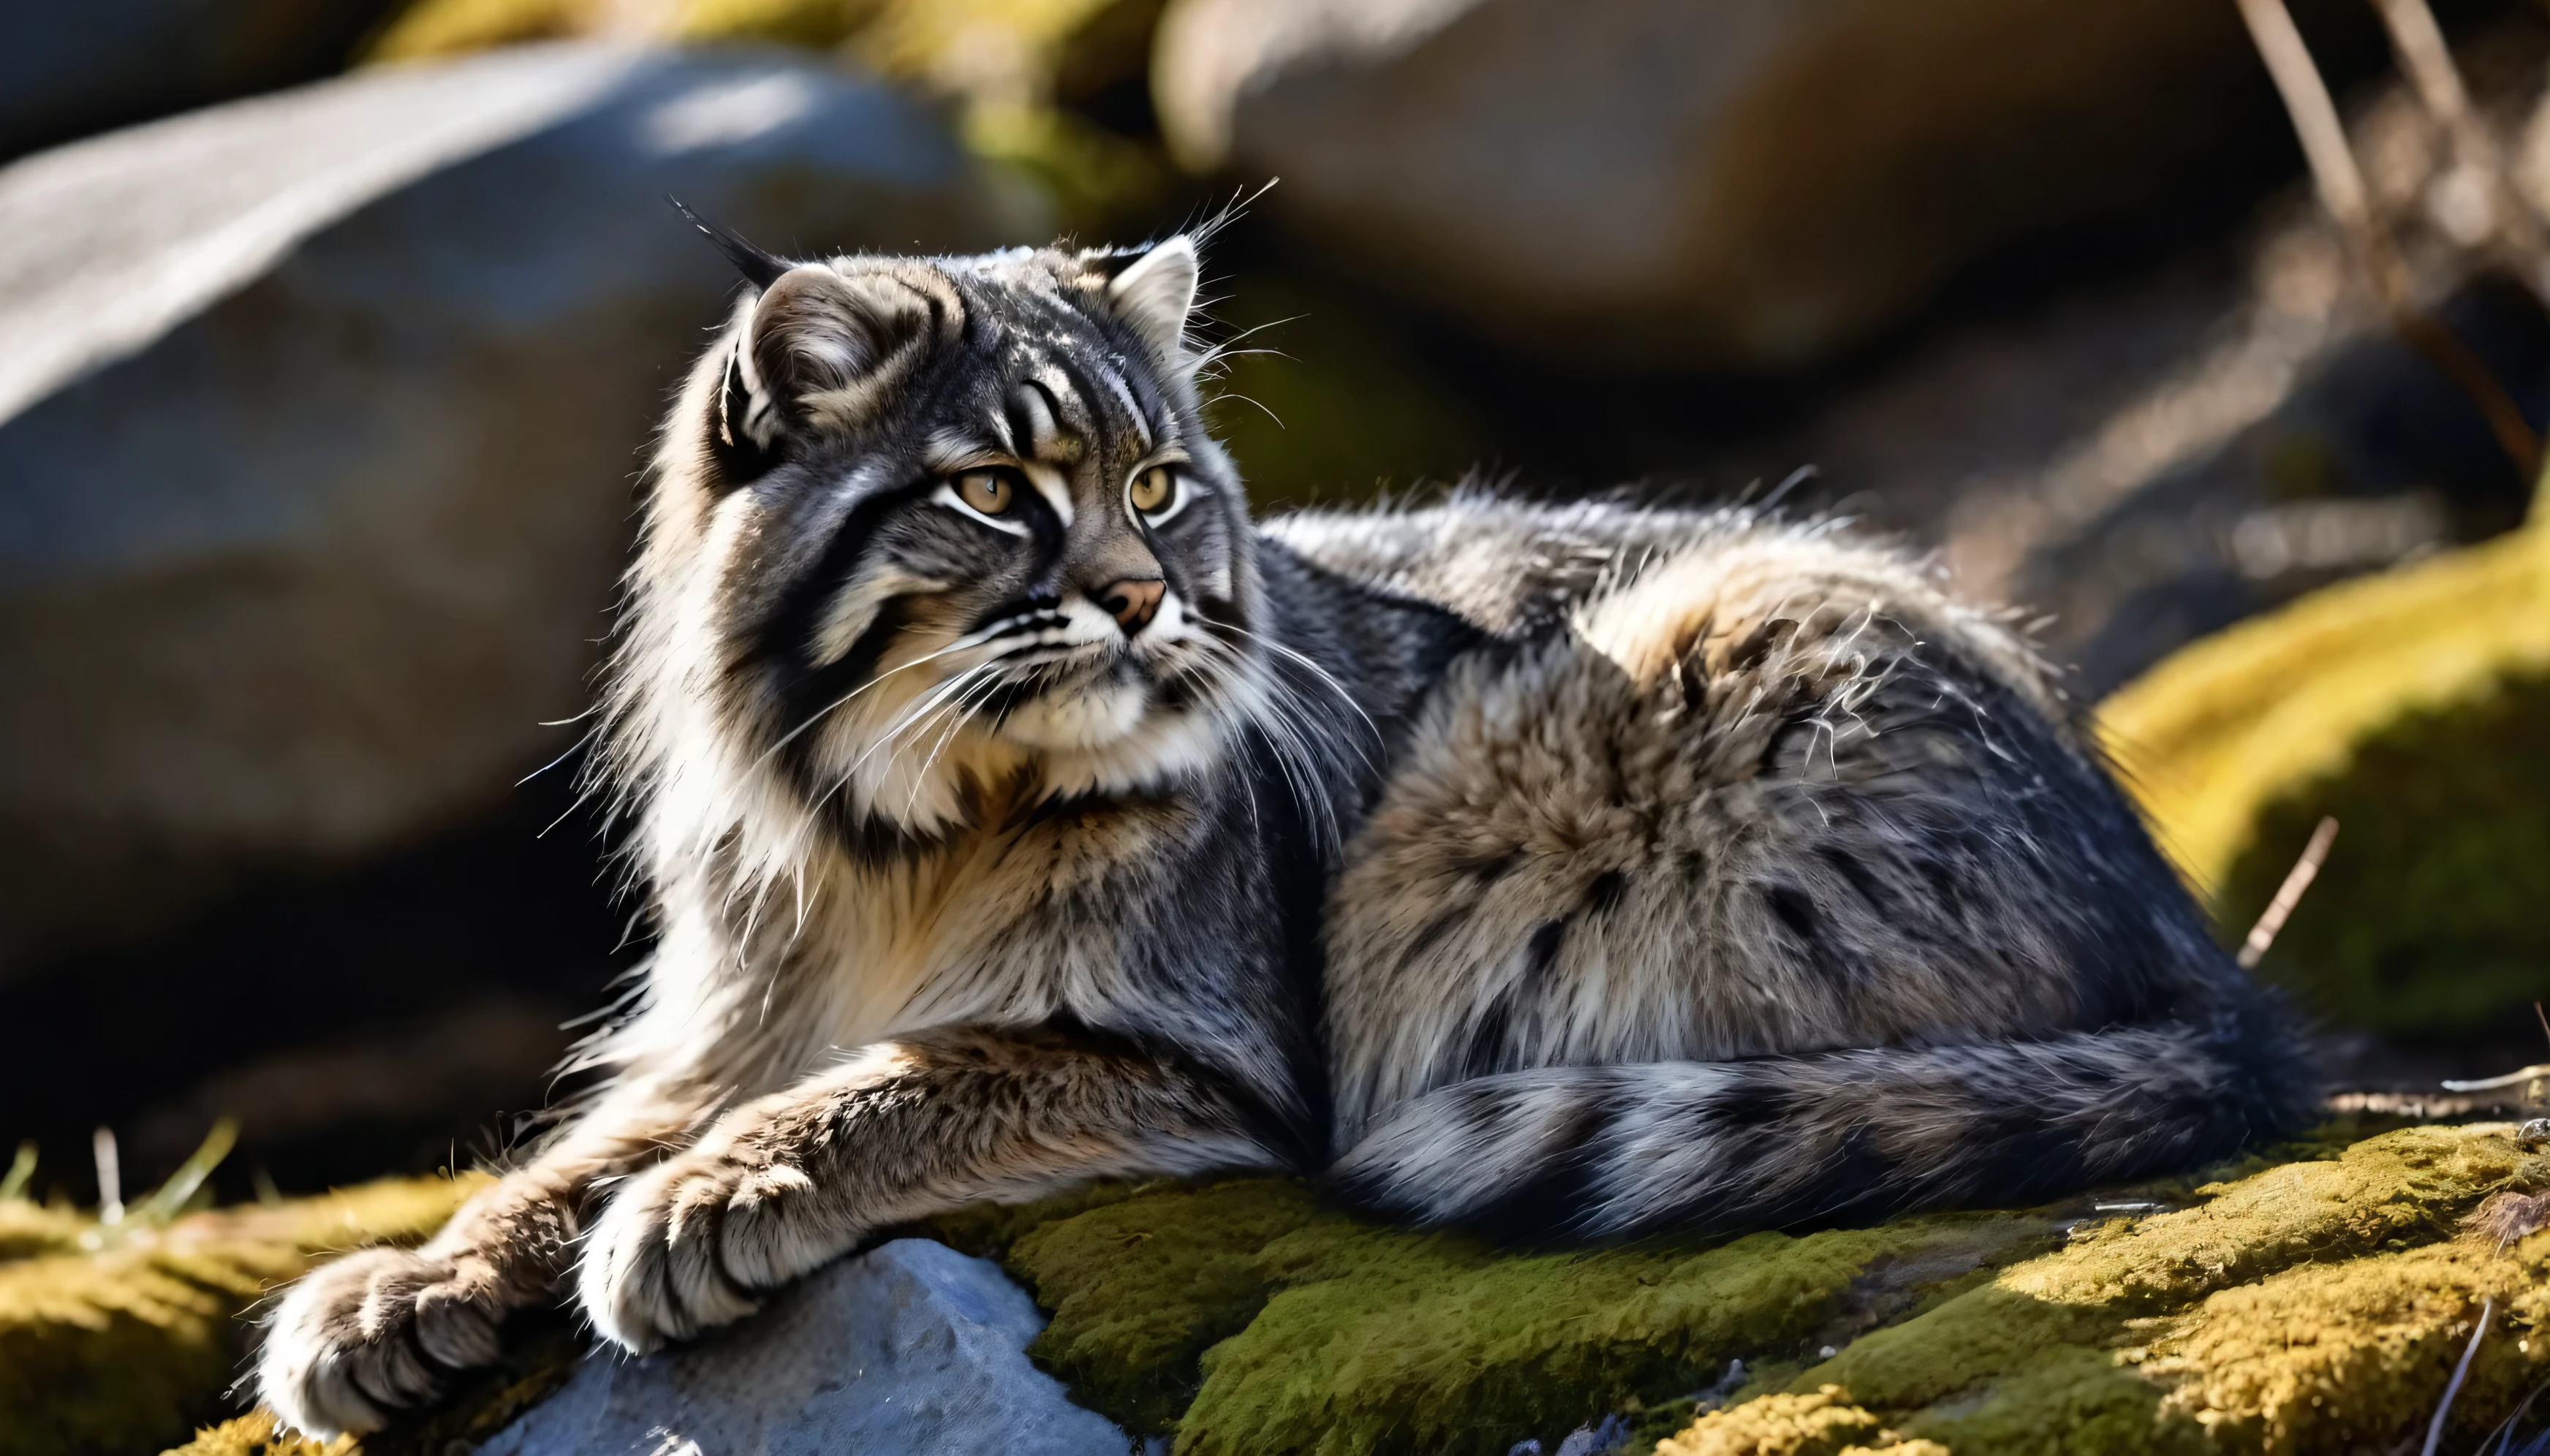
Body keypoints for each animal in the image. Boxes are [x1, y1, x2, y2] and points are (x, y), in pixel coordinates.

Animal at [254, 228, 2315, 1438]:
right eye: (993, 494)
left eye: (1162, 486)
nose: (1145, 602)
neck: (898, 824)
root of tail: (2205, 960)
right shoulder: (712, 1027)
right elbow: (551, 1160)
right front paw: (399, 1284)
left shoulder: (1196, 1048)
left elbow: (902, 1081)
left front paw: (710, 1202)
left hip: (1549, 759)